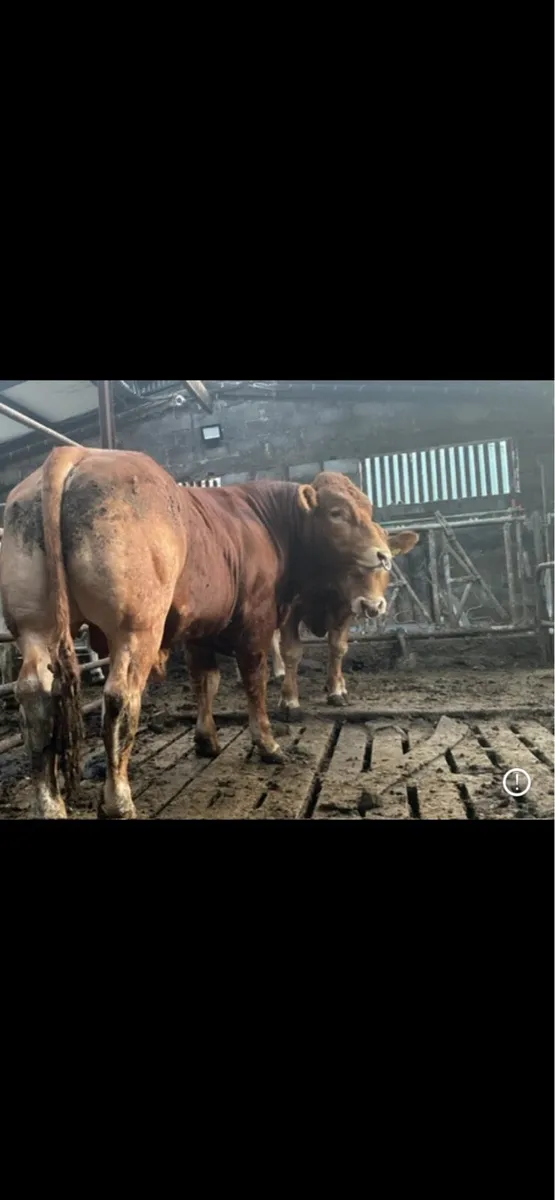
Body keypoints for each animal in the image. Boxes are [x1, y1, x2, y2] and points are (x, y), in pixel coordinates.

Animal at [0, 452, 394, 819]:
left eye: (368, 507)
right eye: (337, 512)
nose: (384, 555)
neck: (267, 523)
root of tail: (77, 455)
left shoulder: (200, 630)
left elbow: (206, 681)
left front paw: (206, 740)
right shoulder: (256, 621)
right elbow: (254, 681)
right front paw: (267, 744)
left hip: (36, 627)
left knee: (35, 694)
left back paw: (50, 805)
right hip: (136, 628)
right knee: (121, 697)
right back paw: (118, 801)